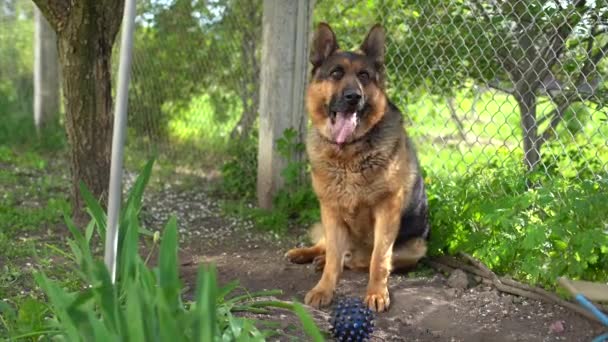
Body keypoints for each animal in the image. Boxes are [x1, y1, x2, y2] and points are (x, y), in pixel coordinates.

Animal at [286, 22, 432, 312]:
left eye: (364, 75)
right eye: (336, 73)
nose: (353, 97)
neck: (347, 154)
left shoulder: (387, 210)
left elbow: (379, 259)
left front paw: (376, 293)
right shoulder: (330, 210)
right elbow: (333, 259)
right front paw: (323, 289)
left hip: (416, 247)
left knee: (360, 259)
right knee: (327, 247)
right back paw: (307, 254)